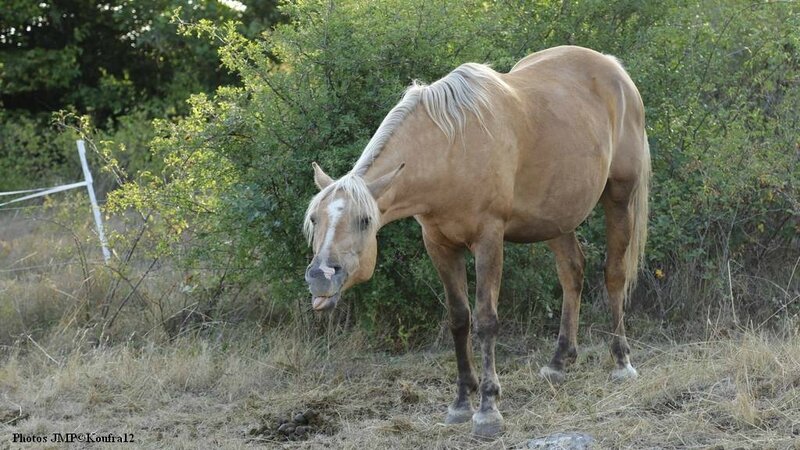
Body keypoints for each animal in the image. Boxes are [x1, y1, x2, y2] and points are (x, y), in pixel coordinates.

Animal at [304, 45, 648, 436]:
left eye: (364, 221)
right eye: (315, 219)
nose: (321, 276)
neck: (451, 147)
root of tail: (613, 68)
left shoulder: (489, 240)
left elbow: (486, 320)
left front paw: (488, 408)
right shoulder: (439, 245)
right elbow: (459, 319)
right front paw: (460, 402)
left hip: (619, 198)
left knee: (614, 274)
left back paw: (621, 362)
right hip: (557, 217)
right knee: (572, 273)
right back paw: (559, 362)